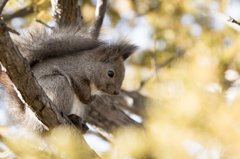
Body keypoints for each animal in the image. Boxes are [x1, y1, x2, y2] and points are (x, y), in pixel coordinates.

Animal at [0, 25, 138, 135]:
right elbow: (81, 89)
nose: (116, 92)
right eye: (110, 73)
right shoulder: (75, 74)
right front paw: (89, 99)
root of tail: (29, 121)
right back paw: (71, 118)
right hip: (58, 85)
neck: (88, 64)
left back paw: (81, 125)